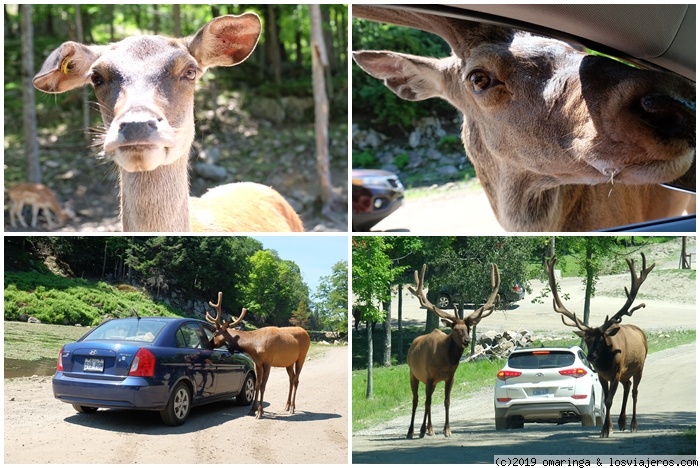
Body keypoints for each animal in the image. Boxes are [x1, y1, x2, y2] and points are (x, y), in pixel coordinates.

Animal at [205, 290, 308, 418]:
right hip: (288, 362)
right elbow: (257, 385)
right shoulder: (258, 363)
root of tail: (307, 333)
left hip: (301, 357)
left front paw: (259, 412)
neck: (254, 347)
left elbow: (263, 385)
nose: (209, 344)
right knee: (291, 379)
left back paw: (293, 407)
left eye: (215, 334)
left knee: (296, 380)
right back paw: (287, 405)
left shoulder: (268, 361)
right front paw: (252, 410)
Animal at [402, 262, 500, 436]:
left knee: (426, 400)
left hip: (431, 381)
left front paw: (447, 429)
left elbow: (446, 401)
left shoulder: (450, 377)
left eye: (468, 328)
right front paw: (425, 429)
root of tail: (412, 344)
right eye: (456, 330)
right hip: (413, 373)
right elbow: (427, 402)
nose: (467, 340)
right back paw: (412, 431)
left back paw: (427, 428)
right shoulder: (428, 376)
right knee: (416, 400)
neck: (444, 361)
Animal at [548, 254, 656, 436]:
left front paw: (606, 430)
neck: (606, 362)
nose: (591, 356)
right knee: (628, 386)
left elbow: (610, 400)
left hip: (639, 367)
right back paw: (622, 422)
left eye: (602, 339)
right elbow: (605, 401)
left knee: (635, 391)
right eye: (587, 340)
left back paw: (633, 424)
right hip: (625, 374)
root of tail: (641, 332)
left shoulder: (616, 373)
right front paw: (608, 427)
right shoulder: (602, 375)